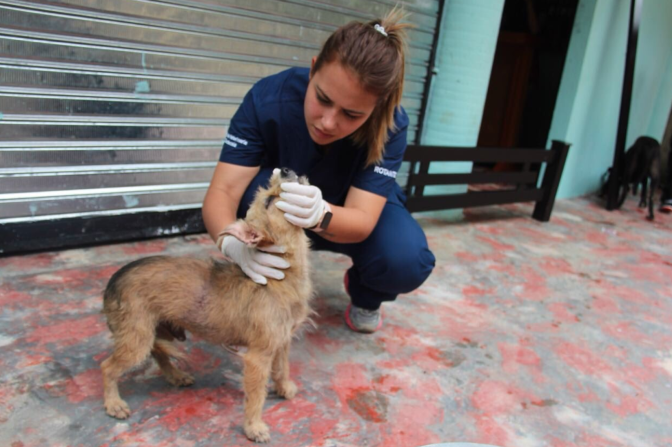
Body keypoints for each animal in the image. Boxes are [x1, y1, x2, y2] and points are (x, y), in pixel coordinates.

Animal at [100, 169, 316, 444]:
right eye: (268, 201)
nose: (286, 170)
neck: (282, 277)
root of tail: (114, 279)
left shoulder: (282, 341)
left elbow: (282, 368)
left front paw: (284, 388)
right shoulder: (258, 357)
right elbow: (256, 396)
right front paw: (254, 427)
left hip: (155, 330)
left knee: (158, 352)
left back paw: (175, 375)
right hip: (136, 341)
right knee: (108, 367)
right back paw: (113, 403)